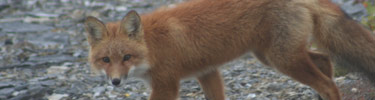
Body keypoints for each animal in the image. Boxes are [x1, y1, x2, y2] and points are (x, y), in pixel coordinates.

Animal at [83, 0, 375, 99]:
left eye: (127, 57)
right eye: (106, 59)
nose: (116, 82)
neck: (154, 46)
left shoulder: (167, 84)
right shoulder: (207, 72)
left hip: (283, 59)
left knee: (327, 83)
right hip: (270, 56)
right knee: (324, 60)